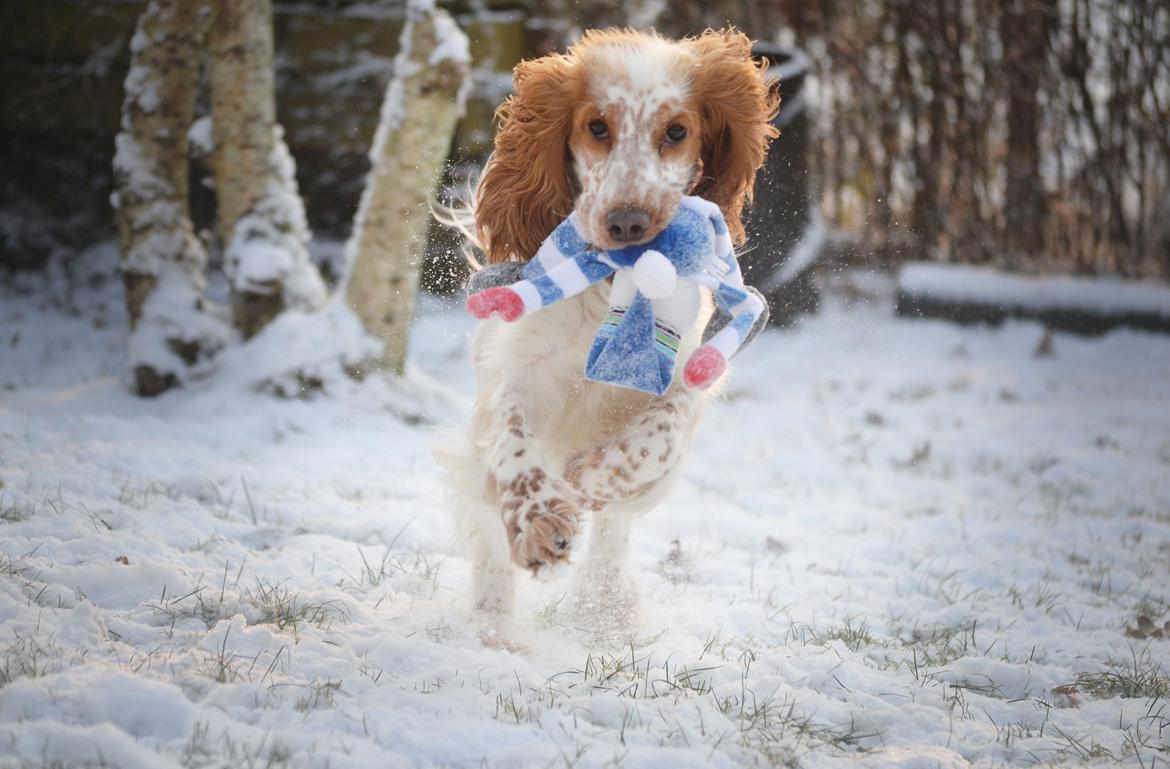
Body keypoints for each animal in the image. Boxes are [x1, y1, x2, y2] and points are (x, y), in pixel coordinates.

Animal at [439, 26, 776, 632]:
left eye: (676, 131)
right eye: (597, 127)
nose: (627, 223)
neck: (616, 285)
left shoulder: (686, 372)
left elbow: (659, 434)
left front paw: (593, 476)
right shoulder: (520, 367)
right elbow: (514, 441)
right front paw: (540, 522)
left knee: (614, 531)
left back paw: (604, 610)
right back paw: (494, 627)